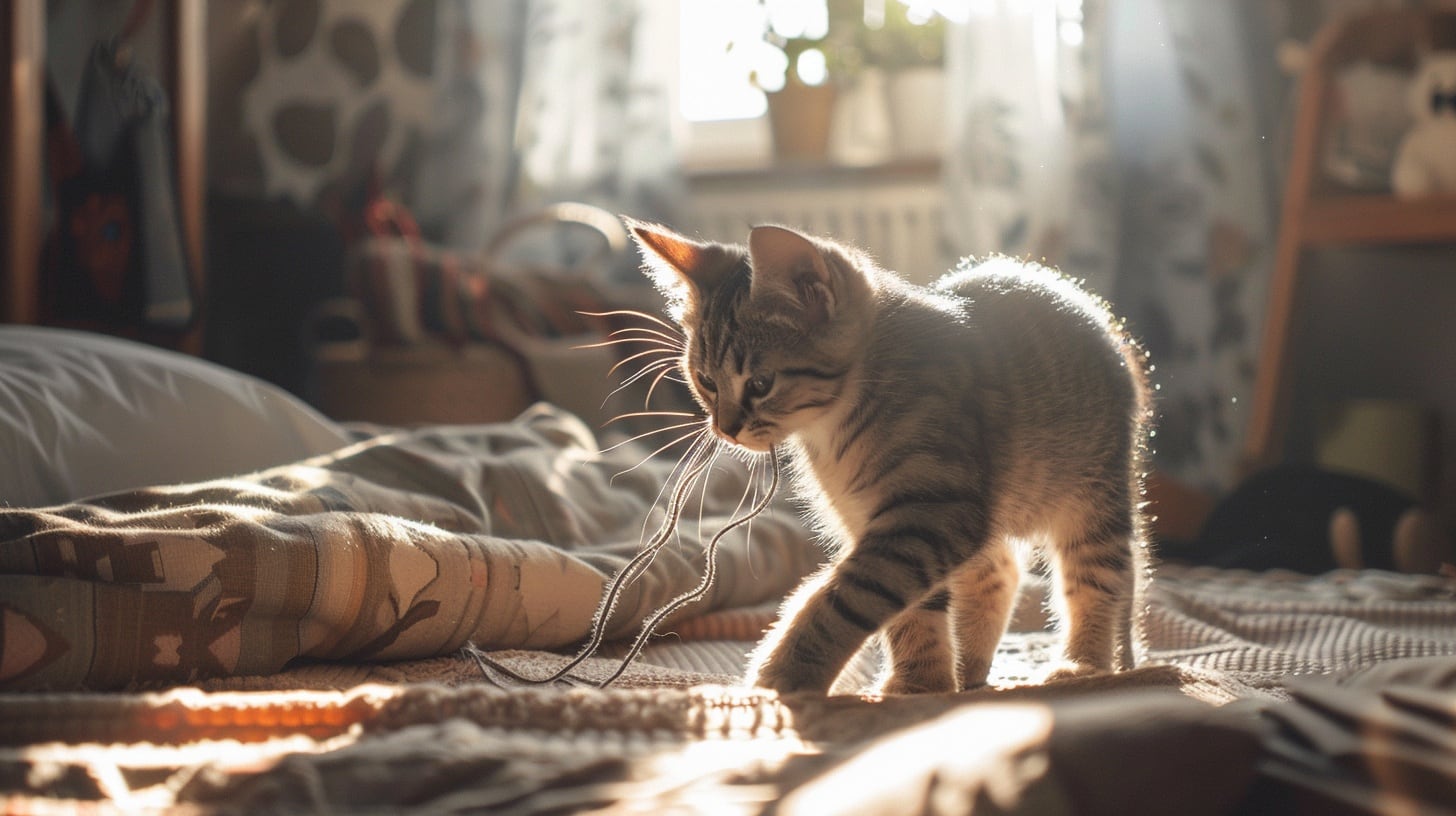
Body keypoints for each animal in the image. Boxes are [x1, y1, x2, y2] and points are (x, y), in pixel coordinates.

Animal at [631, 218, 1153, 693]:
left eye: (760, 384)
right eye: (706, 381)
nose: (725, 427)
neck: (835, 429)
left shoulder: (929, 514)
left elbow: (848, 597)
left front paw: (783, 676)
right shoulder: (888, 518)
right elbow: (912, 610)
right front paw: (920, 683)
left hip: (1092, 493)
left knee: (1103, 577)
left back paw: (1085, 664)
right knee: (999, 571)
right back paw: (971, 668)